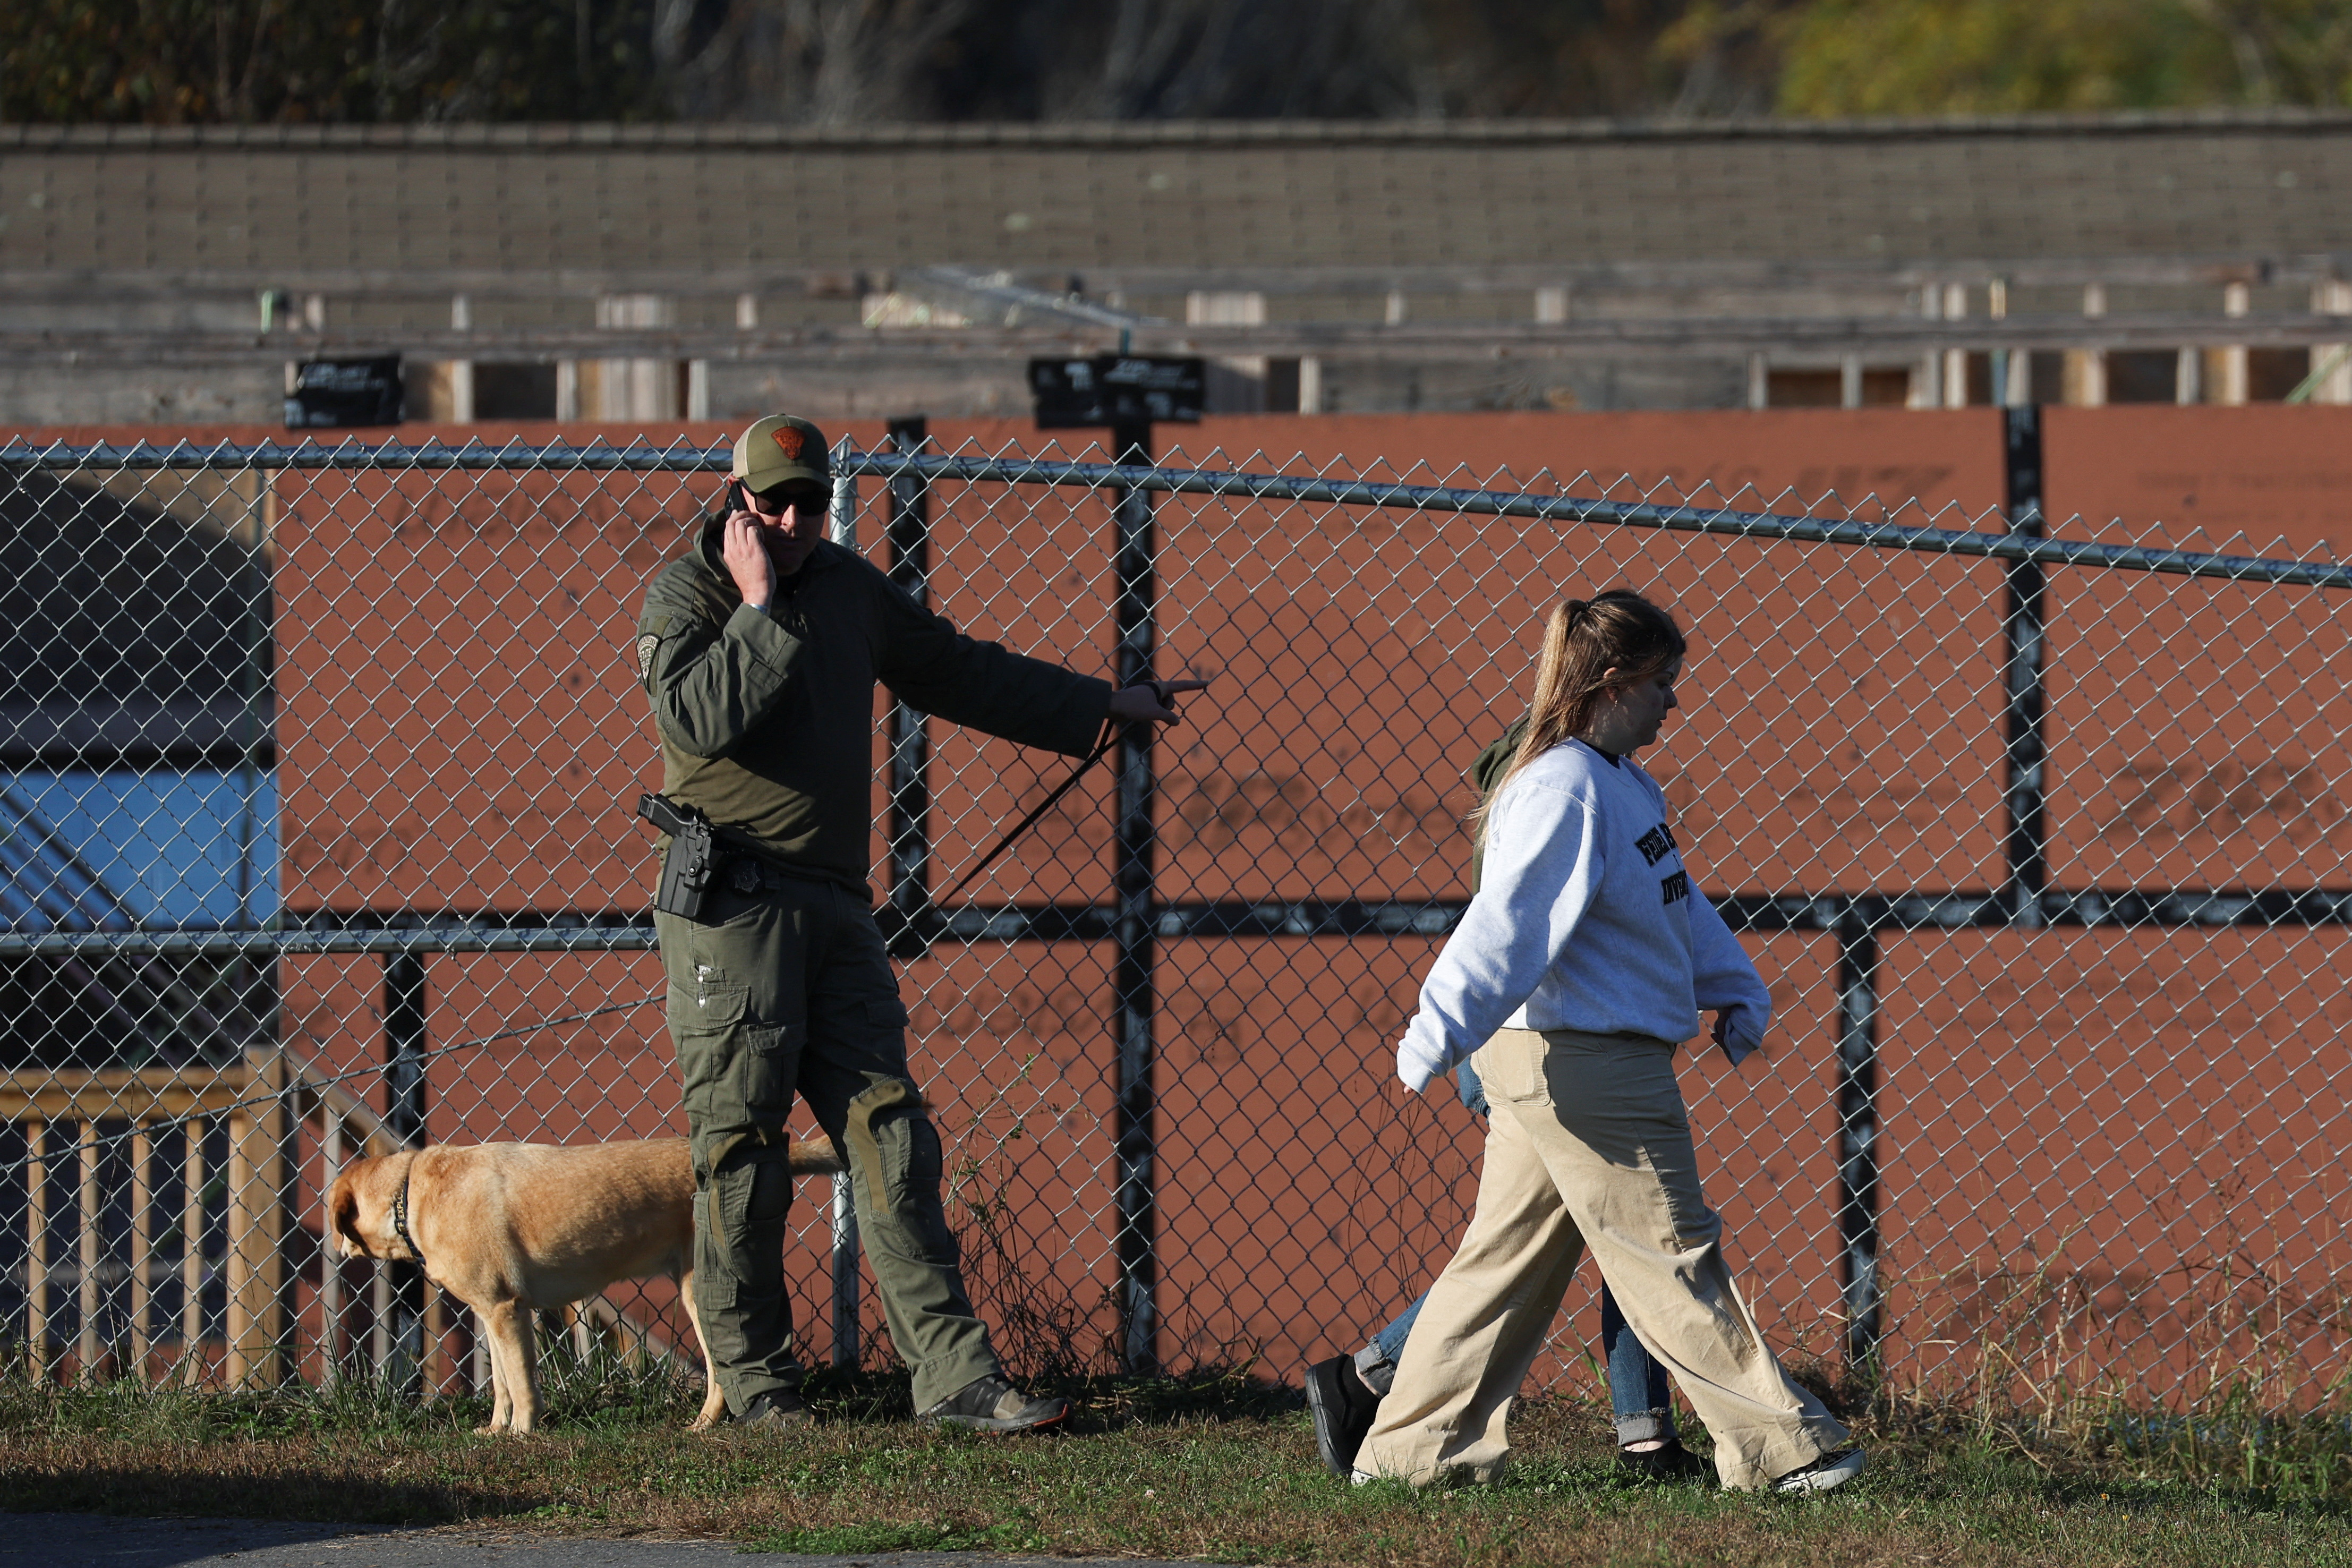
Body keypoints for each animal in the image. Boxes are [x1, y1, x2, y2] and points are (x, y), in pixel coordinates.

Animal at [327, 1136, 839, 1434]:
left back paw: (704, 1425)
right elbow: (500, 1386)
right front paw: (494, 1432)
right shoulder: (491, 1314)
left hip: (700, 1293)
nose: (335, 1248)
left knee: (718, 1370)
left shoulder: (507, 1310)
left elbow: (521, 1385)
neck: (407, 1194)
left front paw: (522, 1435)